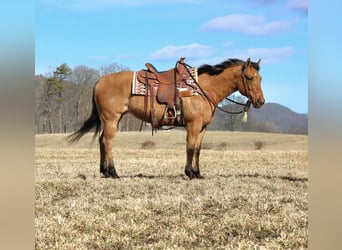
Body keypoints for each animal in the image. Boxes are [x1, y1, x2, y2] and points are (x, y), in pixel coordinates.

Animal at [67, 57, 264, 179]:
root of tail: (99, 82)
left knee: (102, 141)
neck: (202, 88)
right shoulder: (193, 125)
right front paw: (189, 173)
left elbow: (198, 150)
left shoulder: (203, 127)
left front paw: (198, 173)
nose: (260, 101)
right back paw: (113, 172)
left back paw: (104, 171)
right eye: (249, 77)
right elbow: (190, 148)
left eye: (260, 78)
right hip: (111, 119)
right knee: (108, 142)